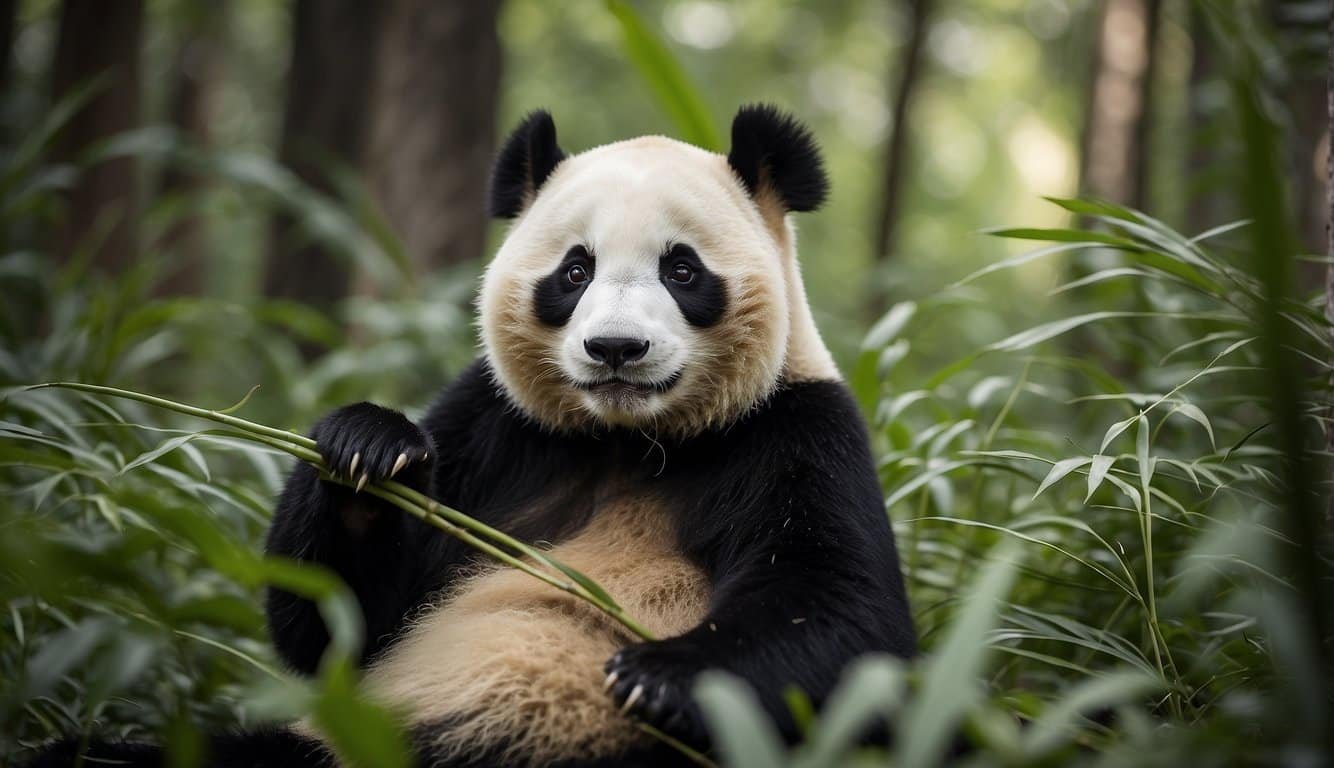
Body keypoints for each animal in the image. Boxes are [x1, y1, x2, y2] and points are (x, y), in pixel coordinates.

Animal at [39, 106, 917, 768]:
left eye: (682, 270)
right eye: (574, 271)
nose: (616, 349)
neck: (630, 441)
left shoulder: (792, 430)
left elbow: (846, 617)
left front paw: (656, 678)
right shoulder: (496, 428)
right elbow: (339, 627)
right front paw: (367, 450)